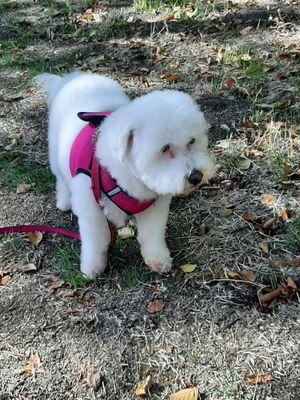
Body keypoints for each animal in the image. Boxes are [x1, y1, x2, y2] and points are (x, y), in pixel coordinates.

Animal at [37, 72, 214, 278]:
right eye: (164, 148)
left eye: (192, 141)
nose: (196, 176)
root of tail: (73, 77)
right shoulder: (91, 211)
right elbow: (96, 241)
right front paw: (92, 267)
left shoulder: (154, 209)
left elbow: (152, 235)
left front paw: (158, 259)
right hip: (56, 154)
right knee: (61, 179)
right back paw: (64, 201)